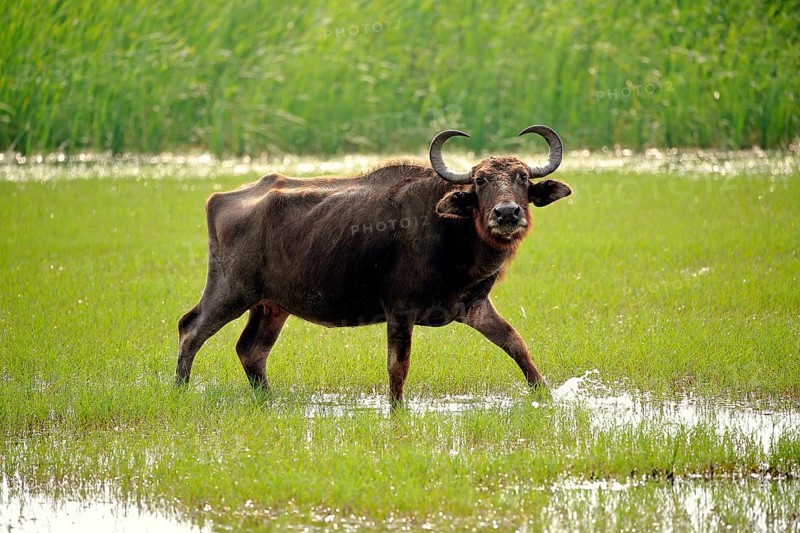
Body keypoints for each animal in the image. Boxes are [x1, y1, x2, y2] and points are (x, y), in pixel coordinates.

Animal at [176, 125, 571, 405]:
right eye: (480, 180)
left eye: (522, 177)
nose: (507, 213)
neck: (449, 229)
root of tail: (220, 199)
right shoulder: (399, 309)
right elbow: (398, 367)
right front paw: (396, 410)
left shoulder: (472, 306)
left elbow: (515, 342)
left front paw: (545, 395)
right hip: (230, 291)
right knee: (190, 329)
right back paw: (180, 390)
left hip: (271, 306)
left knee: (251, 350)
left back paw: (266, 399)